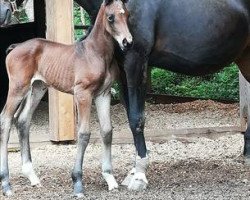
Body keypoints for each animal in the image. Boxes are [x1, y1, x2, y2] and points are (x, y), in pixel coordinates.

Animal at [0, 0, 133, 197]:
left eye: (127, 15)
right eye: (111, 17)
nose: (127, 42)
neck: (96, 53)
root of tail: (15, 47)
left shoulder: (104, 93)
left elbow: (107, 131)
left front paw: (110, 178)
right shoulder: (83, 94)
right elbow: (84, 134)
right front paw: (77, 183)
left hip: (37, 88)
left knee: (22, 120)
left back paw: (32, 177)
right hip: (18, 88)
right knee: (6, 119)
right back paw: (6, 184)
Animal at [75, 0, 250, 191]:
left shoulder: (135, 63)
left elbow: (136, 118)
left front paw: (139, 176)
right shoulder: (122, 70)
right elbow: (130, 116)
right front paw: (133, 172)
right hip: (245, 60)